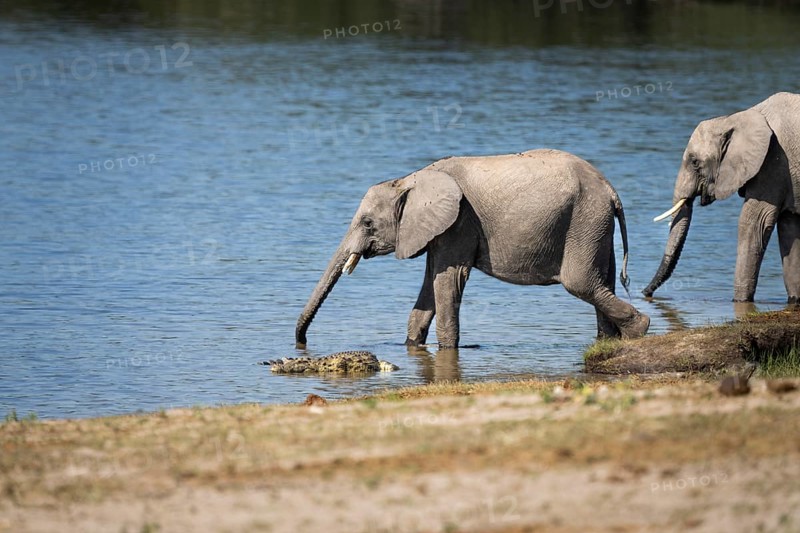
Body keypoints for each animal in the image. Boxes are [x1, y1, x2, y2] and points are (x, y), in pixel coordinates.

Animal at [295, 149, 651, 350]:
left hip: (584, 219)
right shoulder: (440, 229)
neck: (412, 179)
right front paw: (412, 346)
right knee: (602, 280)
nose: (301, 343)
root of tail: (611, 190)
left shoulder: (460, 222)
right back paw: (611, 340)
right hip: (594, 225)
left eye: (368, 223)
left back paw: (639, 330)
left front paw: (448, 349)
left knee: (581, 282)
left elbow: (447, 282)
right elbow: (429, 288)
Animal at [644, 92, 800, 304]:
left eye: (695, 162)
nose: (645, 293)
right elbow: (789, 229)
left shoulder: (773, 163)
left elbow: (753, 224)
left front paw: (740, 302)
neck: (735, 118)